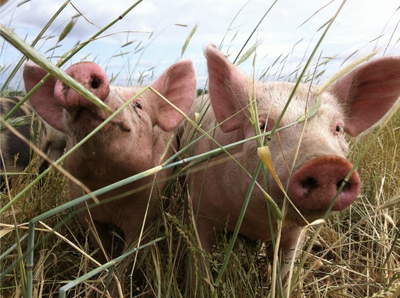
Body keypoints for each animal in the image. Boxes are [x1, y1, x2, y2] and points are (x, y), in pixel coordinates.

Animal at [23, 59, 195, 264]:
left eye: (138, 105)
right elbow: (100, 245)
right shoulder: (83, 209)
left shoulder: (147, 211)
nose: (81, 67)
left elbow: (129, 256)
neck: (107, 185)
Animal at [181, 44, 400, 280]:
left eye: (338, 128)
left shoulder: (296, 232)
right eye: (262, 125)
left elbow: (286, 267)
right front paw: (199, 282)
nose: (327, 162)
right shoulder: (198, 212)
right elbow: (199, 263)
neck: (254, 224)